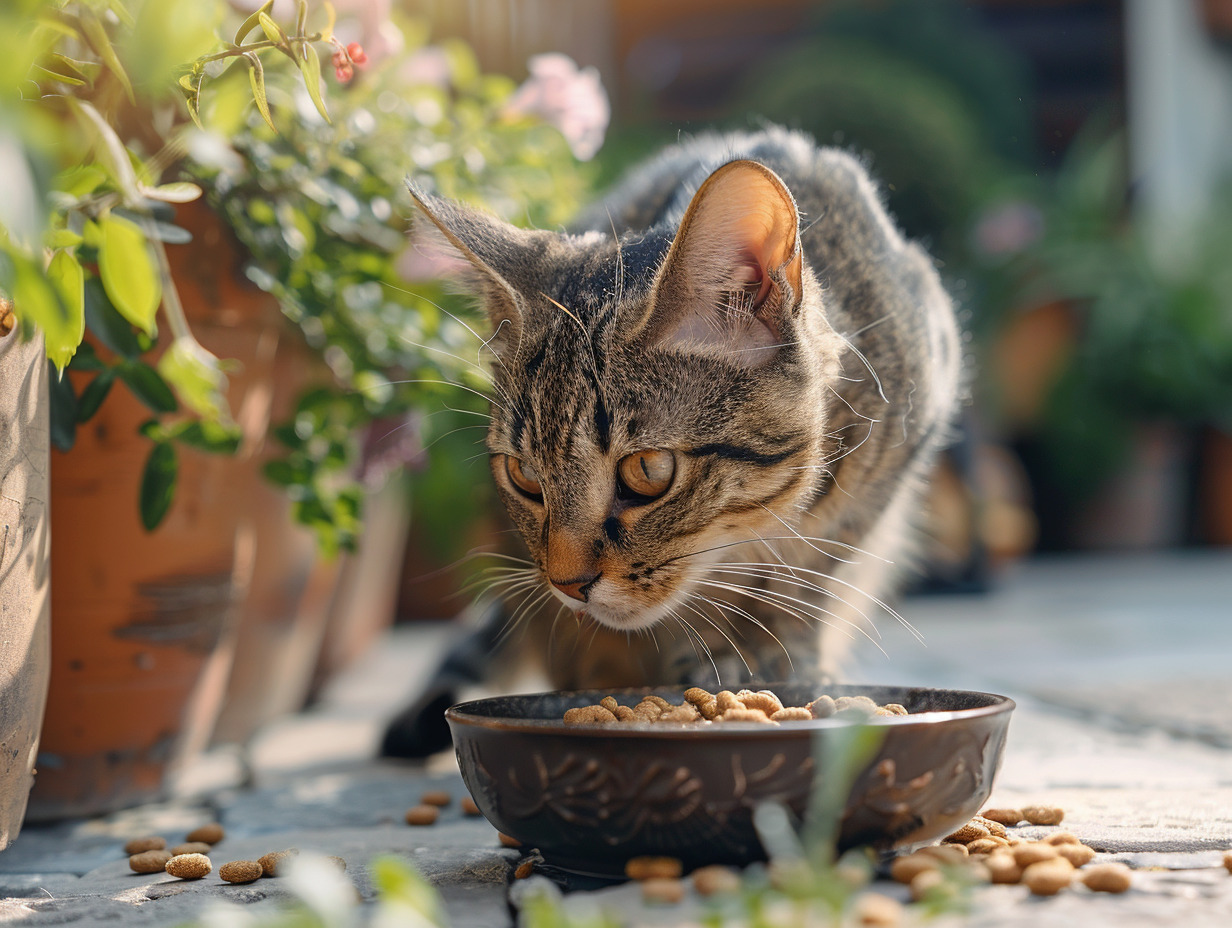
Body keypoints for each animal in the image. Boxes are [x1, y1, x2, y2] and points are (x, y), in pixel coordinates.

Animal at [381, 126, 960, 754]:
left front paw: (787, 660)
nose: (568, 585)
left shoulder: (887, 472)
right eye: (525, 477)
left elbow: (814, 579)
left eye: (647, 472)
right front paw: (715, 663)